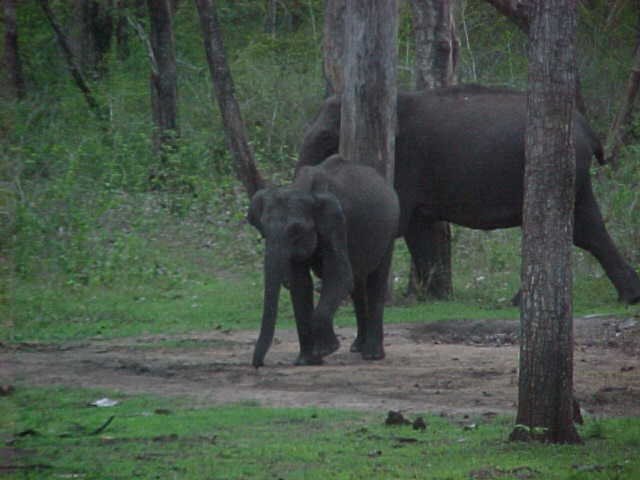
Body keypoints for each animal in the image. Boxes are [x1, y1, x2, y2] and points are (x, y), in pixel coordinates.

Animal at [248, 156, 398, 366]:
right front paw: (306, 361)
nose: (259, 364)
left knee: (375, 280)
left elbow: (339, 275)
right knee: (357, 285)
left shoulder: (338, 224)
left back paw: (372, 355)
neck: (304, 190)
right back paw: (357, 348)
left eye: (296, 231)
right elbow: (300, 283)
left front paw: (327, 349)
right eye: (264, 232)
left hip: (390, 230)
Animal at [298, 84, 640, 304]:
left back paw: (519, 302)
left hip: (563, 170)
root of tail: (587, 128)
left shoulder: (405, 163)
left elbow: (400, 225)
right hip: (575, 178)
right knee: (589, 231)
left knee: (573, 231)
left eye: (327, 136)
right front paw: (430, 297)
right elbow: (417, 229)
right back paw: (629, 296)